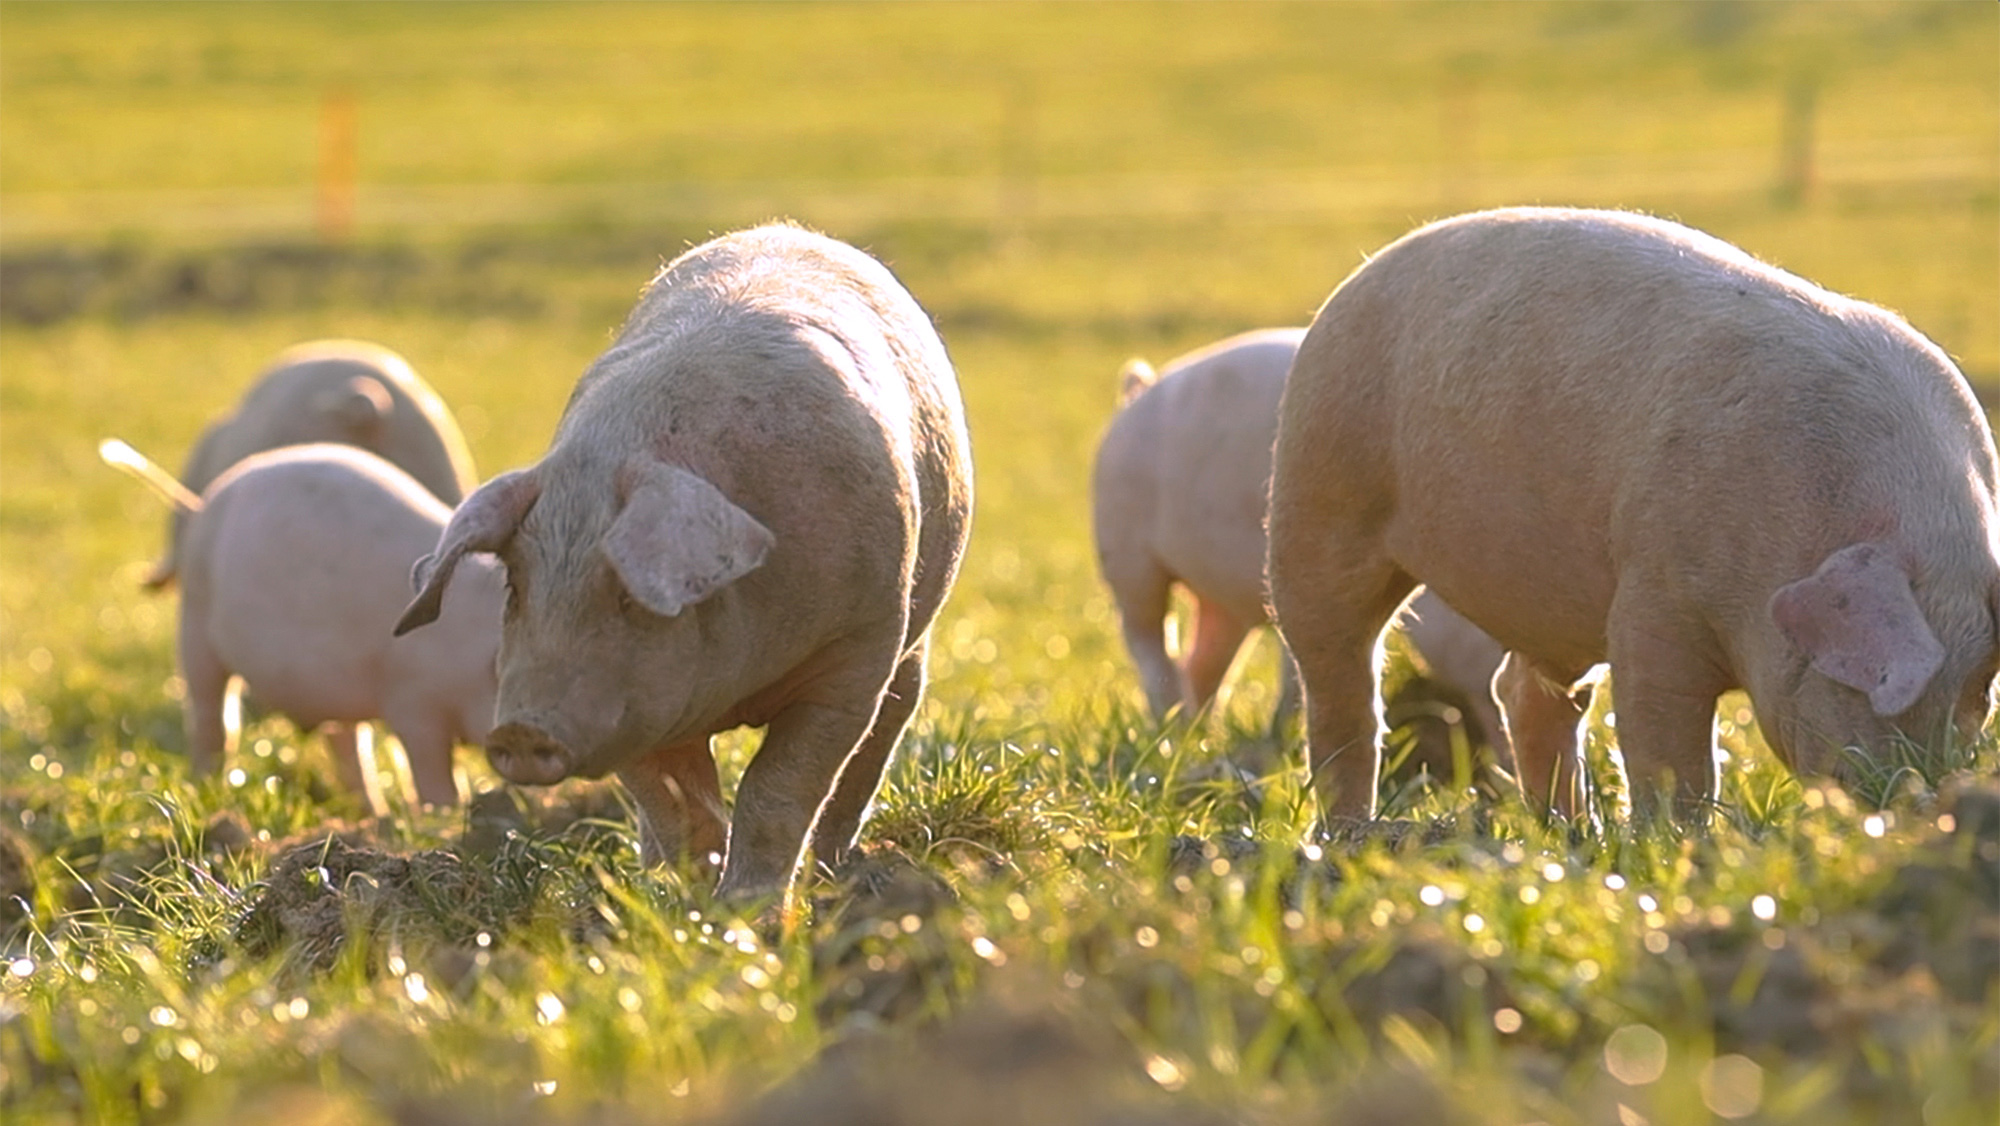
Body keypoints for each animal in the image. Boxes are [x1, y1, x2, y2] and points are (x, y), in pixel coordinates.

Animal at [131, 438, 500, 812]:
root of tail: (210, 498)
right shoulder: (412, 698)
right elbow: (432, 771)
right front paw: (445, 812)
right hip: (194, 622)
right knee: (212, 716)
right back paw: (207, 786)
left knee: (346, 740)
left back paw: (374, 812)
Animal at [392, 225, 976, 904]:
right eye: (515, 588)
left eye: (627, 597)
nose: (520, 732)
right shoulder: (633, 707)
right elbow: (678, 806)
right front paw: (687, 902)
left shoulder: (858, 648)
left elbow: (779, 789)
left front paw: (751, 911)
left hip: (910, 640)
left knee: (883, 733)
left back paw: (839, 872)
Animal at [1096, 326, 1504, 752]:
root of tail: (1140, 390)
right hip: (1126, 555)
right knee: (1149, 639)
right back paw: (1174, 734)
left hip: (1216, 601)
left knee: (1205, 659)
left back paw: (1200, 734)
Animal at [1272, 209, 1992, 828]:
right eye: (1872, 689)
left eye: (1977, 692)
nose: (1912, 801)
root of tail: (1355, 282)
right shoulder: (1654, 594)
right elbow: (1668, 749)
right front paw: (1677, 843)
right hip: (1315, 496)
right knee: (1340, 686)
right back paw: (1349, 831)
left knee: (1524, 693)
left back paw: (1571, 833)